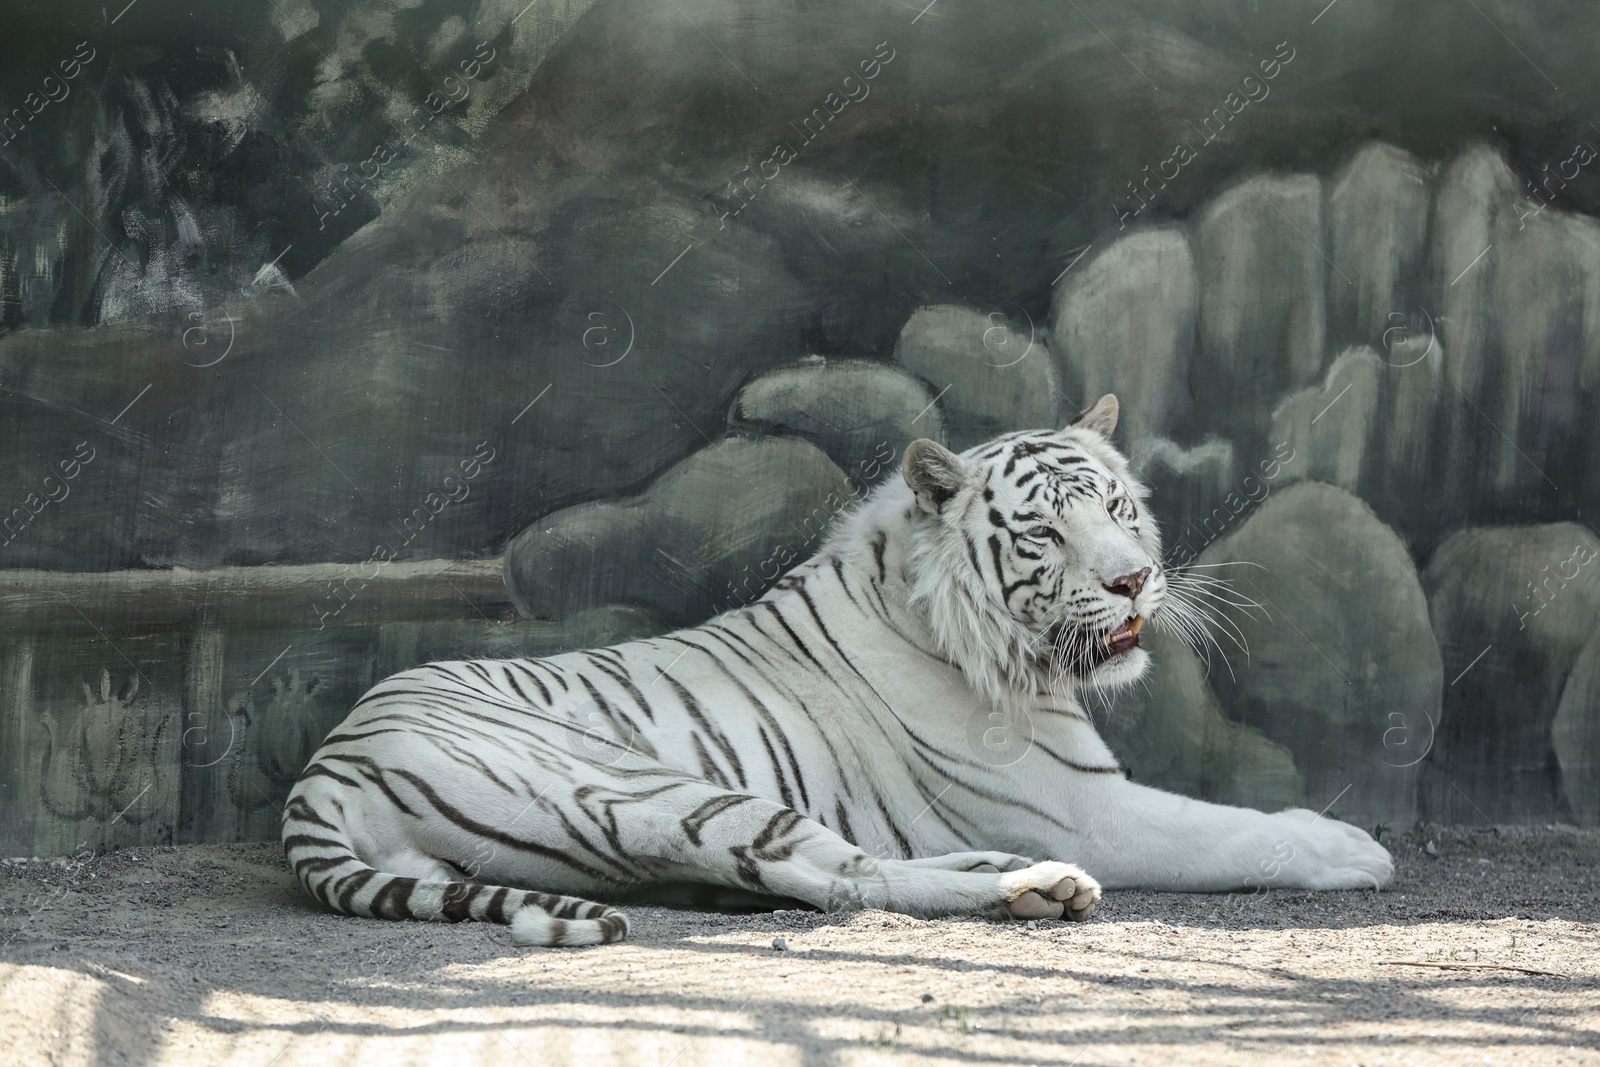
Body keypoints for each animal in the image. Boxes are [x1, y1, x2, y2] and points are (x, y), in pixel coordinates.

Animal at [282, 394, 1394, 946]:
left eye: (1117, 507)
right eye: (1042, 532)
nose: (1133, 580)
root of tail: (321, 773)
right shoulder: (1088, 810)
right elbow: (1230, 827)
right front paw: (1350, 845)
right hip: (652, 787)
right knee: (836, 875)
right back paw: (1027, 885)